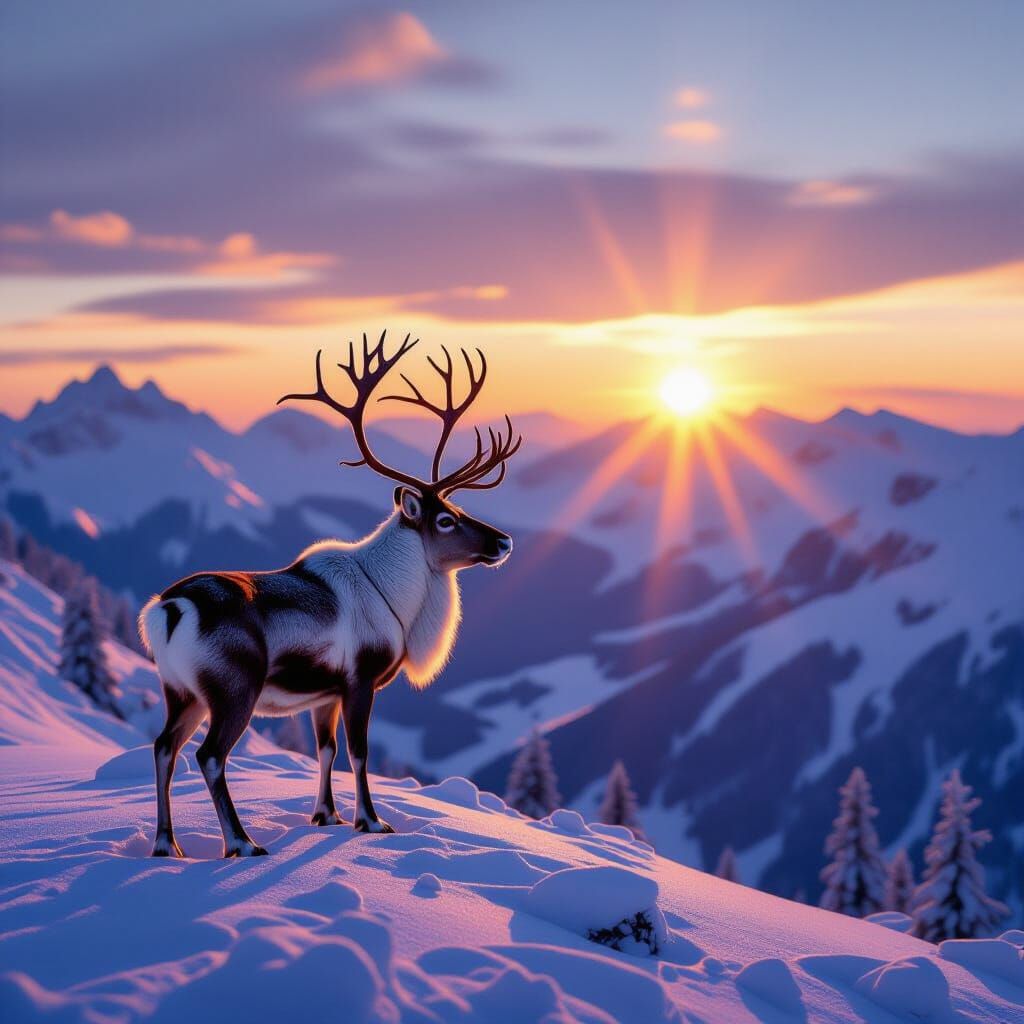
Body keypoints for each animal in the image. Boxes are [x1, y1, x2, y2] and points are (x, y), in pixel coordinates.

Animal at [139, 332, 521, 857]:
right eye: (446, 520)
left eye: (460, 507)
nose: (503, 541)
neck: (397, 600)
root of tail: (170, 608)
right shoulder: (360, 678)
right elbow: (359, 752)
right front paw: (371, 820)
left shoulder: (325, 693)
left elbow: (327, 749)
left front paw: (326, 815)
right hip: (234, 688)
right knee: (210, 755)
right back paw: (241, 842)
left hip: (181, 690)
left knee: (163, 747)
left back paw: (166, 844)